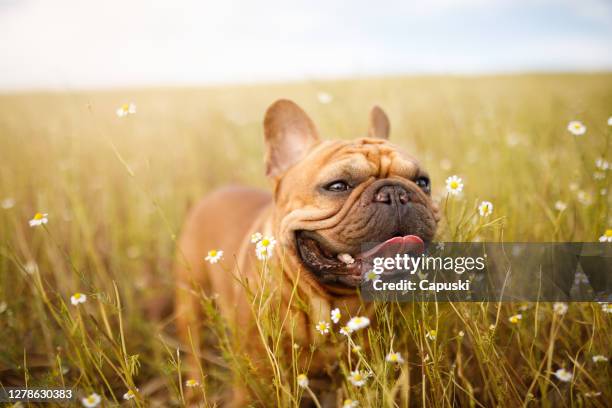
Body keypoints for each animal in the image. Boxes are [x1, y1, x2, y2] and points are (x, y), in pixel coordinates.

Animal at [175, 99, 438, 404]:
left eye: (423, 182)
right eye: (337, 185)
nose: (396, 193)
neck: (332, 303)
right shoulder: (259, 376)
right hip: (190, 305)